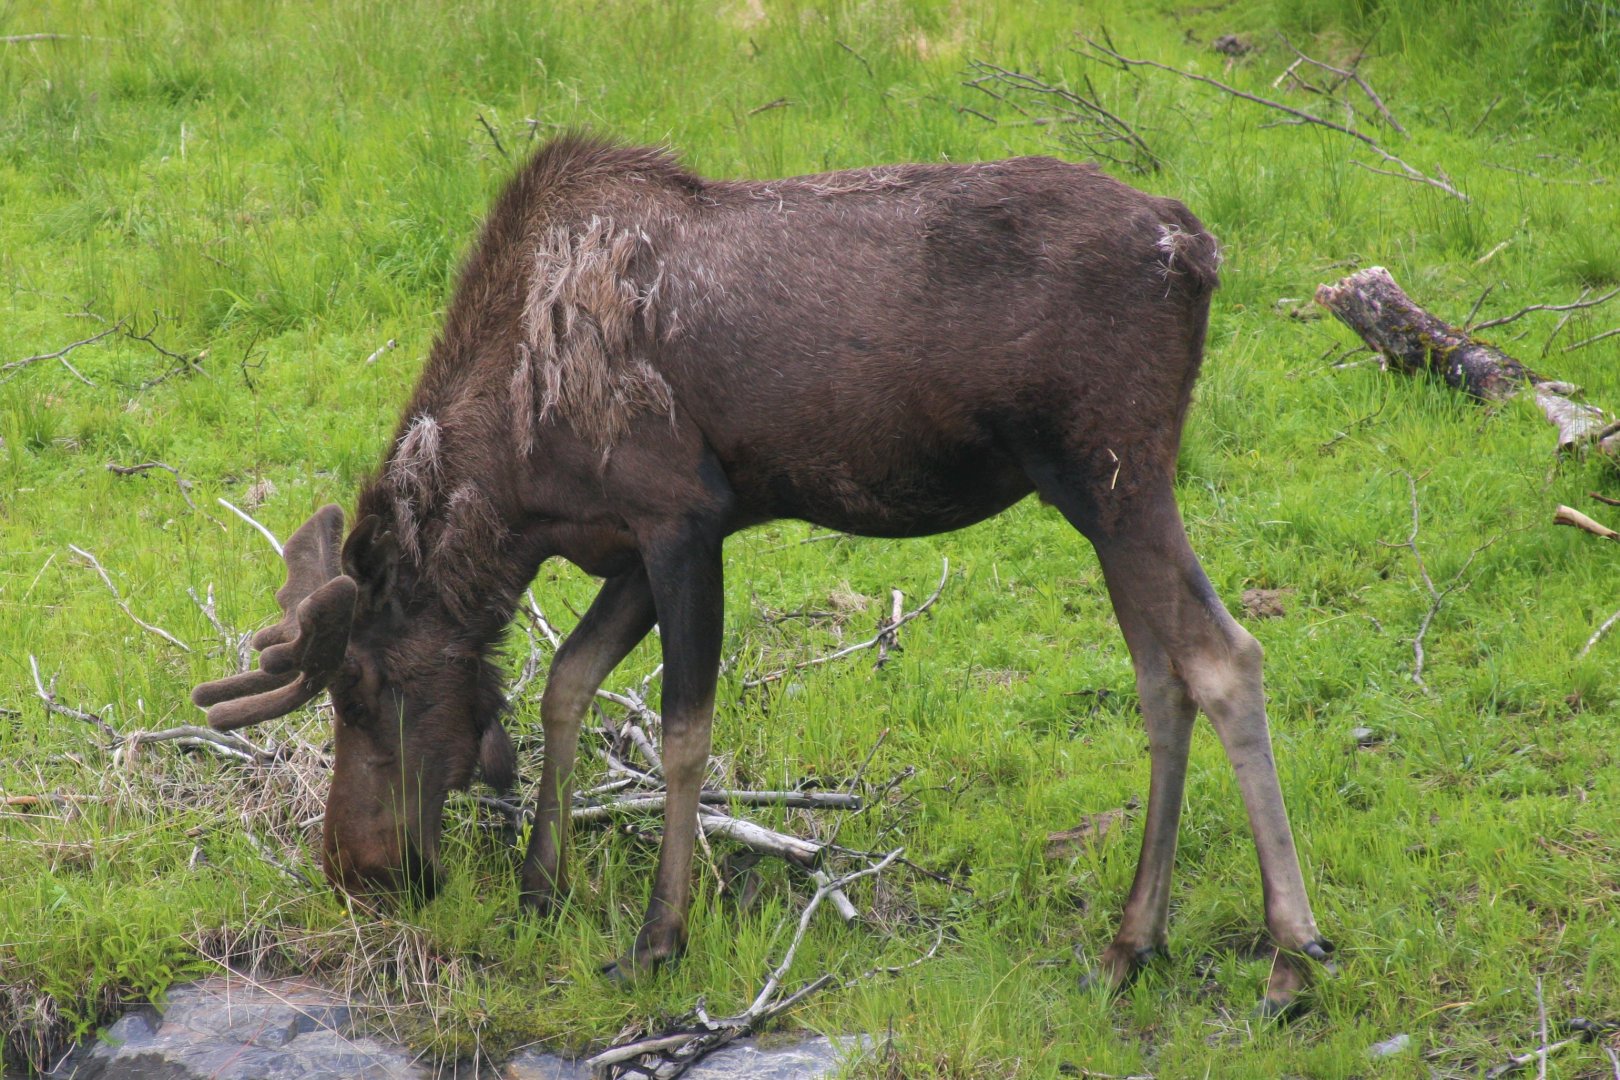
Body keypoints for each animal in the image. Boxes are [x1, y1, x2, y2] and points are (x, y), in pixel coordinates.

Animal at [191, 133, 1333, 1015]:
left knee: (1224, 658)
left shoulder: (682, 517)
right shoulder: (636, 539)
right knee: (1163, 677)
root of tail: (1199, 250)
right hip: (1107, 493)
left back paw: (1291, 958)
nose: (356, 872)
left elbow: (684, 734)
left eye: (365, 691)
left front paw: (658, 936)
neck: (516, 480)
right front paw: (541, 884)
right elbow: (567, 681)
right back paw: (1134, 944)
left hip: (1113, 473)